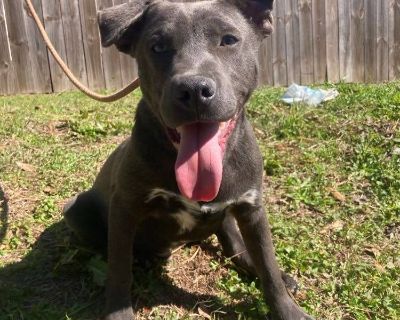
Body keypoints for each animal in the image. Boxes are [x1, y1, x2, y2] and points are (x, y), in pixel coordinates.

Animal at [62, 0, 314, 320]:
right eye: (157, 47)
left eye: (228, 39)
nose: (193, 89)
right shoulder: (124, 207)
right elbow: (119, 269)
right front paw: (119, 311)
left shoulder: (252, 208)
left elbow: (268, 266)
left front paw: (286, 306)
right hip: (76, 209)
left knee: (234, 244)